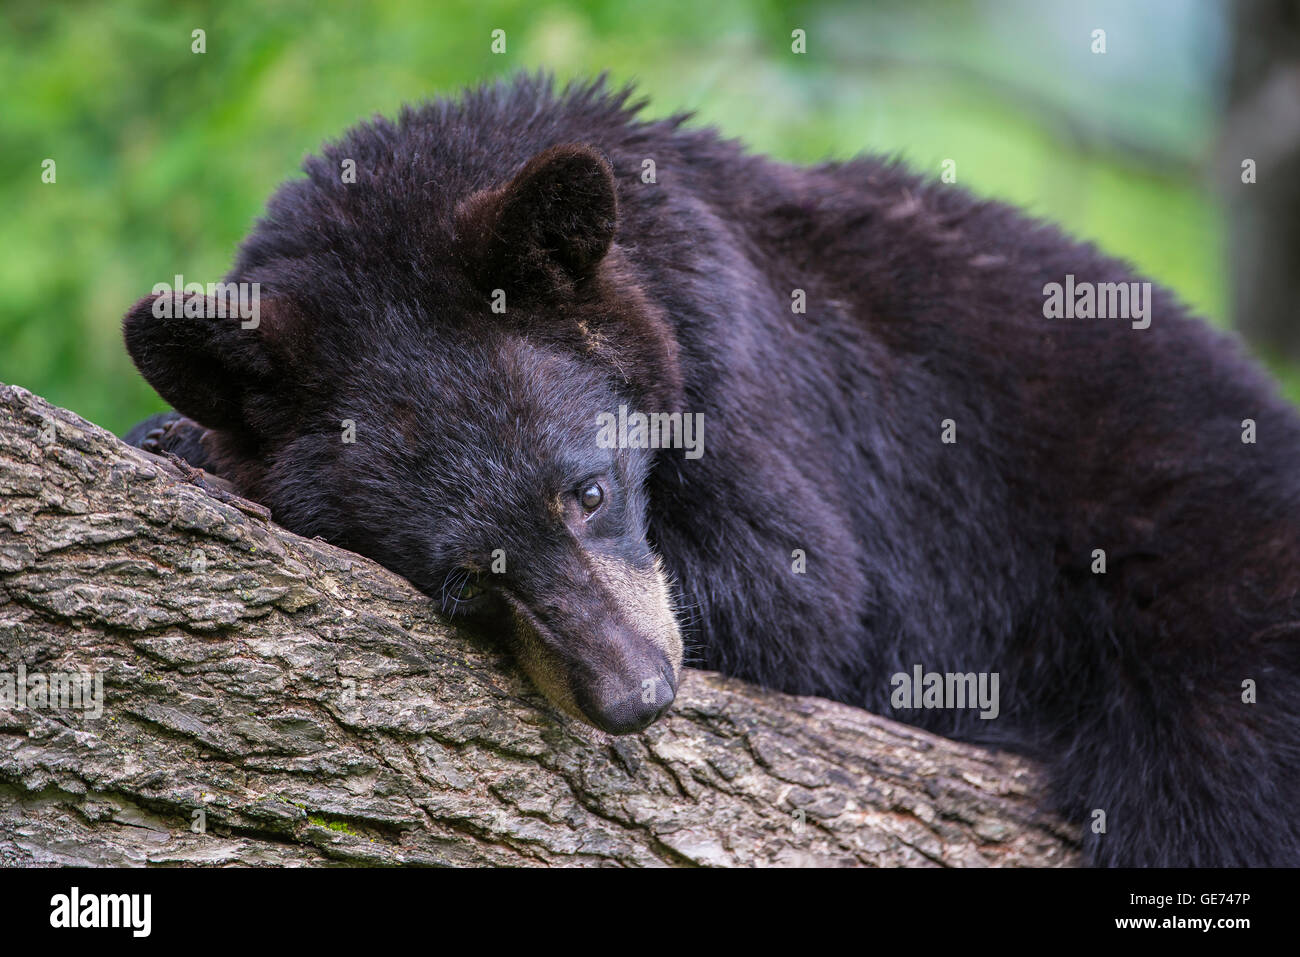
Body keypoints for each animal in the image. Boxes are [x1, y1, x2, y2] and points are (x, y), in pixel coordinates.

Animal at [122, 74, 1300, 868]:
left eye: (591, 490)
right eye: (461, 579)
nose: (636, 693)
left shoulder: (740, 358)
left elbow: (803, 585)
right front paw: (182, 438)